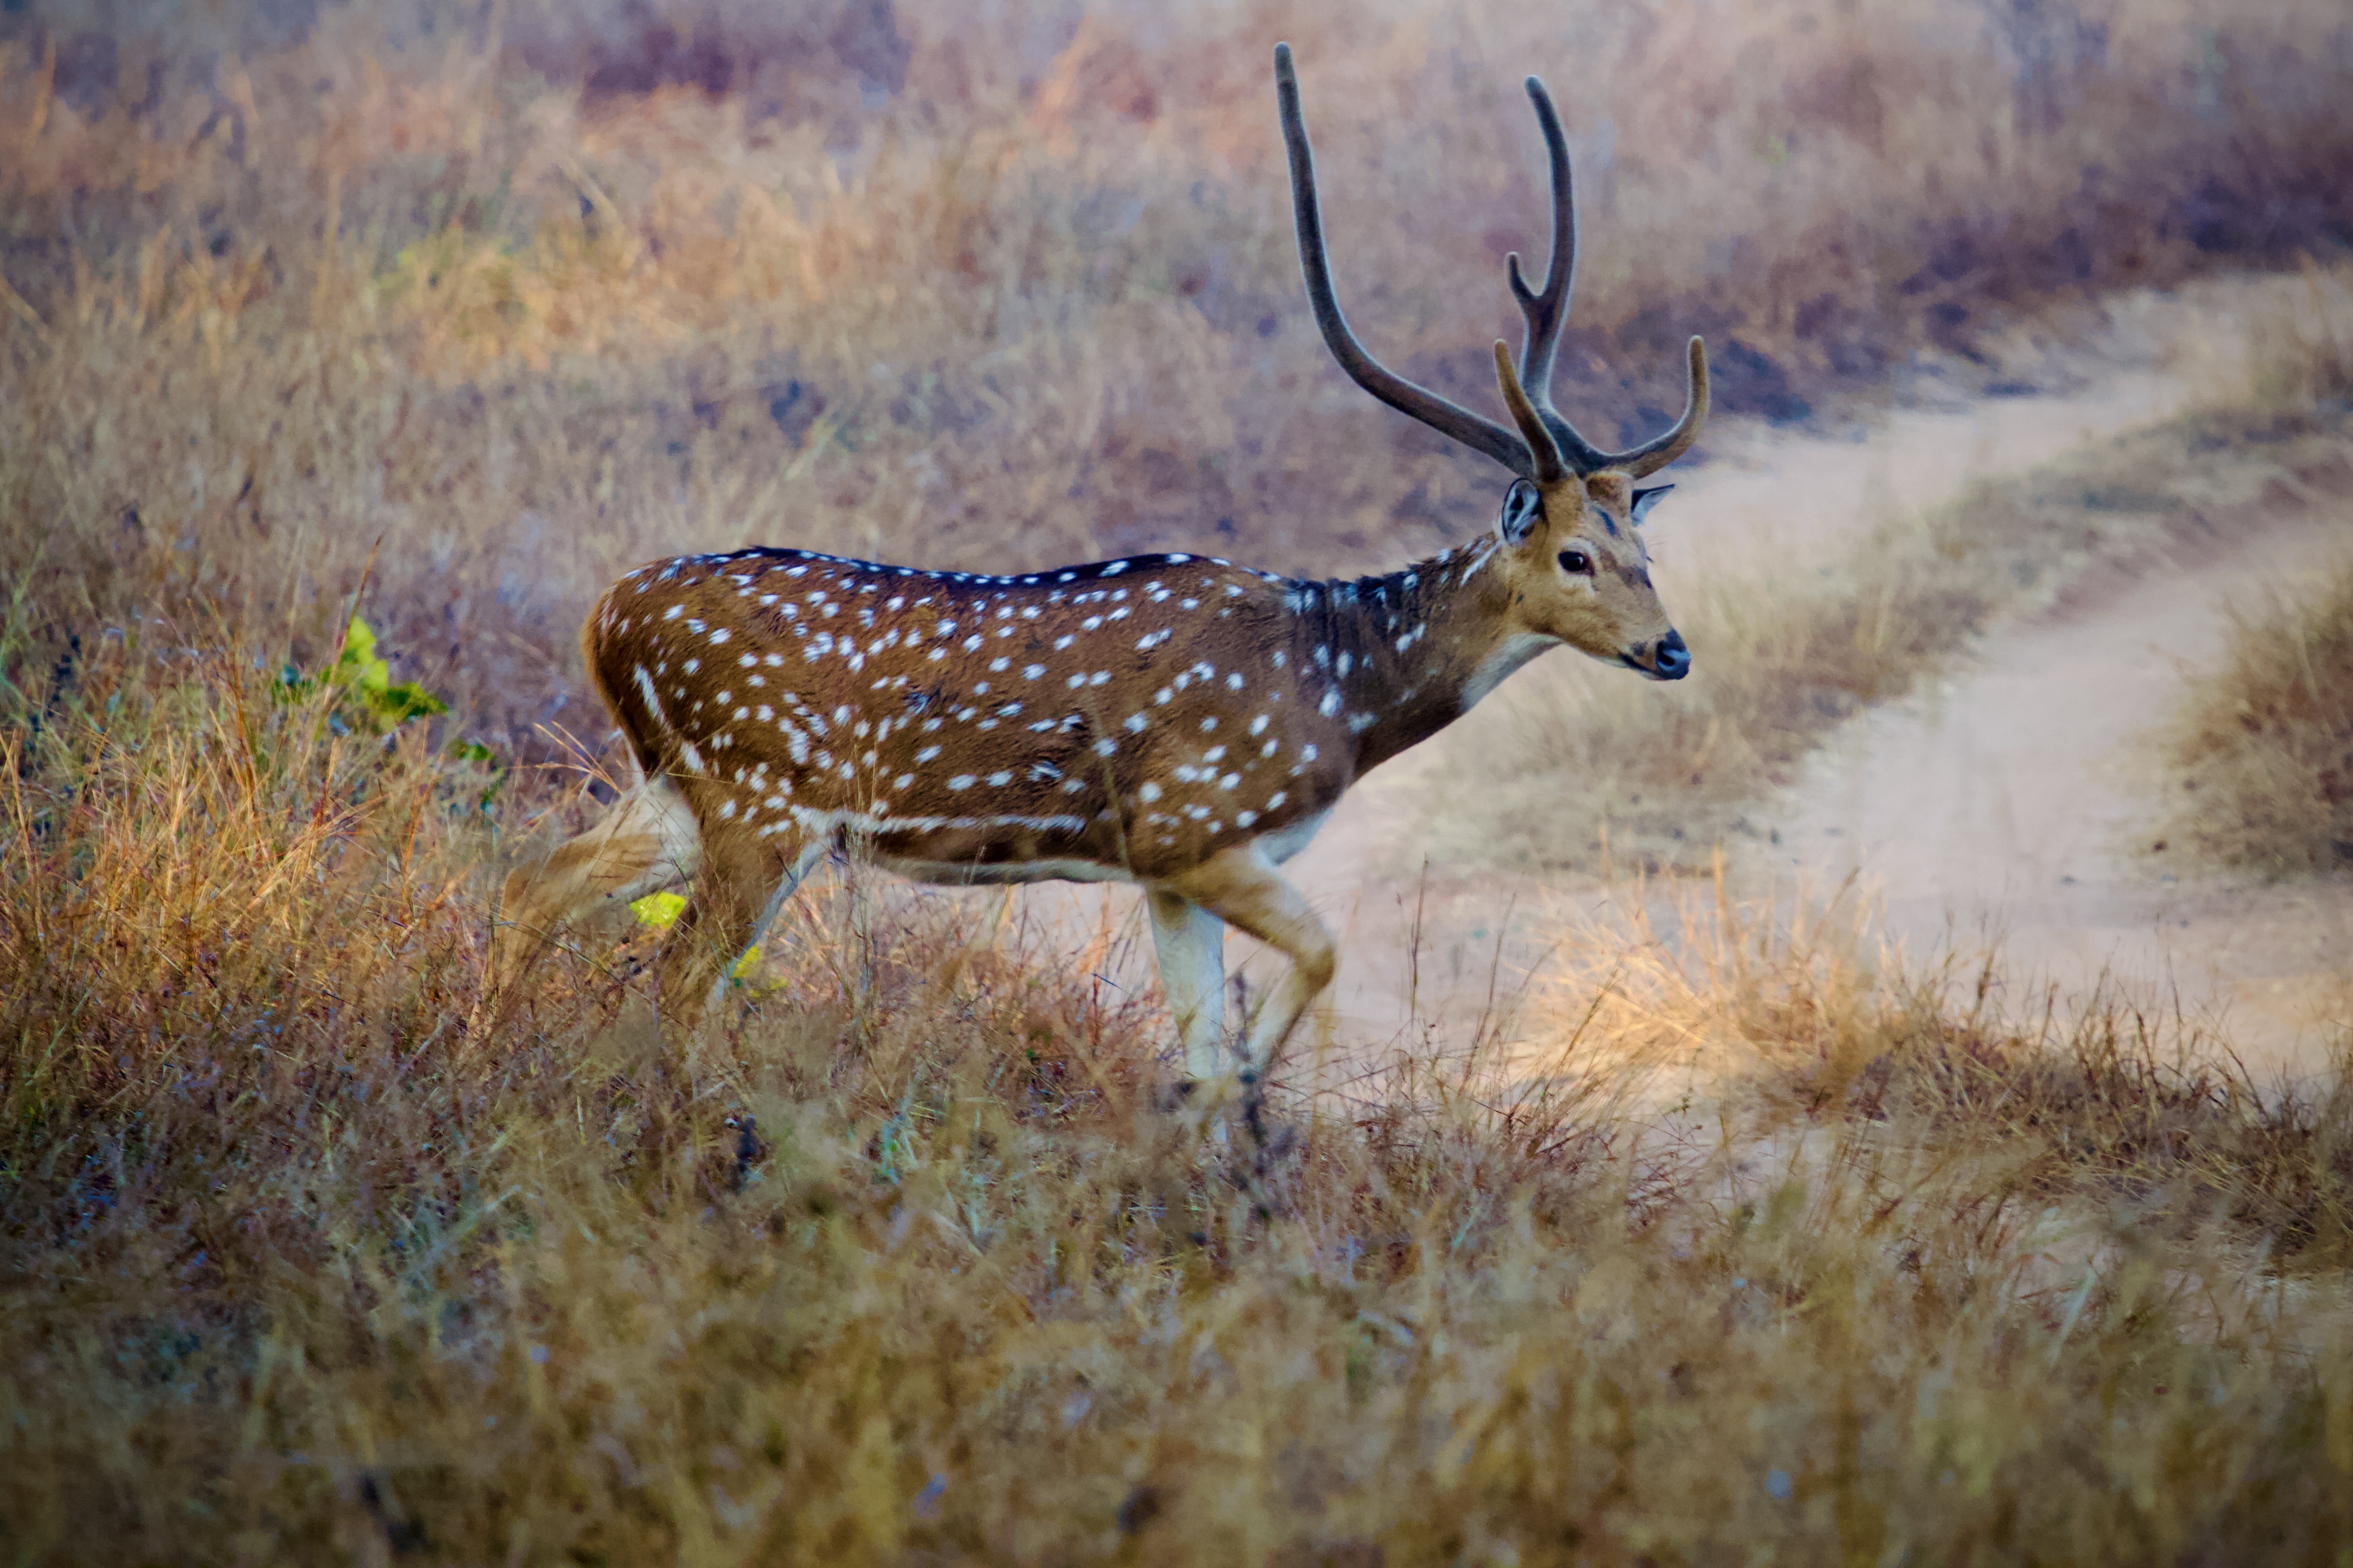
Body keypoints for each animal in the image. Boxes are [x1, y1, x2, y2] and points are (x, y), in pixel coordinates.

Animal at [486, 43, 1710, 1109]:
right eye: (1574, 555)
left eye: (1645, 554)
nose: (1670, 649)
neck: (1337, 691)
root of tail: (603, 618)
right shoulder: (1193, 823)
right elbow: (1312, 961)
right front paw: (1248, 1097)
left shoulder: (1167, 870)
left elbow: (1203, 1039)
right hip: (761, 797)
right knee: (679, 973)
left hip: (676, 785)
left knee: (531, 880)